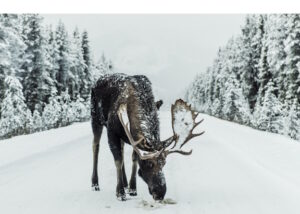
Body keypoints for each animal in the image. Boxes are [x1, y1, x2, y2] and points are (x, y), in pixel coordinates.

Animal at [91, 73, 204, 201]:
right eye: (149, 164)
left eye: (164, 163)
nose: (160, 193)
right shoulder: (112, 131)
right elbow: (118, 161)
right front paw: (120, 192)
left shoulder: (132, 138)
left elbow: (134, 159)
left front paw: (132, 188)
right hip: (95, 119)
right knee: (96, 147)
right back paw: (95, 184)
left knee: (122, 149)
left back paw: (125, 183)